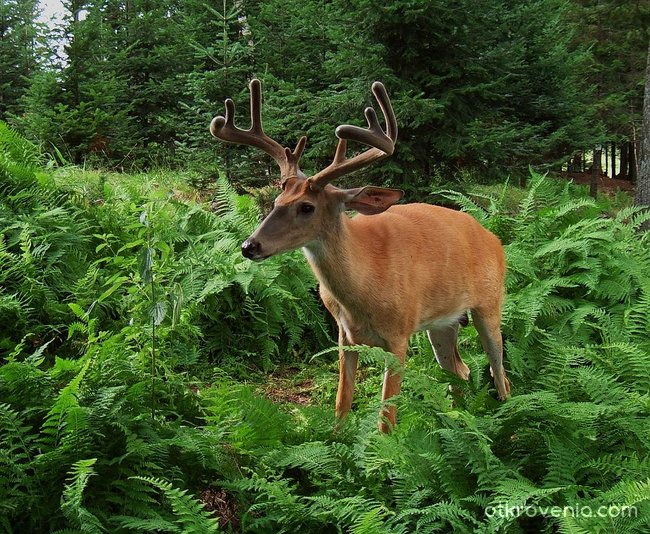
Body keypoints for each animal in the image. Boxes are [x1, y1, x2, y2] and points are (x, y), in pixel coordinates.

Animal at [210, 78, 508, 436]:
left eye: (307, 207)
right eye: (276, 201)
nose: (249, 246)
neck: (363, 290)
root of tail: (494, 239)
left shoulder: (399, 334)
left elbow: (386, 420)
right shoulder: (343, 334)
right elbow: (342, 402)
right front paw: (337, 441)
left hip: (489, 304)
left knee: (499, 372)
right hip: (443, 322)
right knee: (459, 370)